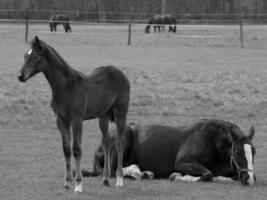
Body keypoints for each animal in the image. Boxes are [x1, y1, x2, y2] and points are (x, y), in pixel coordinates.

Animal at [17, 36, 130, 192]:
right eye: (25, 55)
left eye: (36, 56)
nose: (20, 76)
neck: (65, 87)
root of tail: (119, 72)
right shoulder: (61, 120)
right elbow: (66, 149)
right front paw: (67, 182)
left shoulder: (77, 120)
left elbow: (76, 149)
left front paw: (78, 184)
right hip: (104, 116)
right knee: (106, 141)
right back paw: (106, 179)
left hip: (120, 113)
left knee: (119, 142)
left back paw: (119, 179)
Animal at [82, 119, 258, 186]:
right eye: (237, 152)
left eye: (254, 153)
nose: (249, 179)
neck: (210, 141)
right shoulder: (183, 162)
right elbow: (208, 174)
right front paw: (178, 176)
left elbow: (226, 175)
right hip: (123, 138)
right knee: (112, 170)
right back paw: (137, 172)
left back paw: (145, 173)